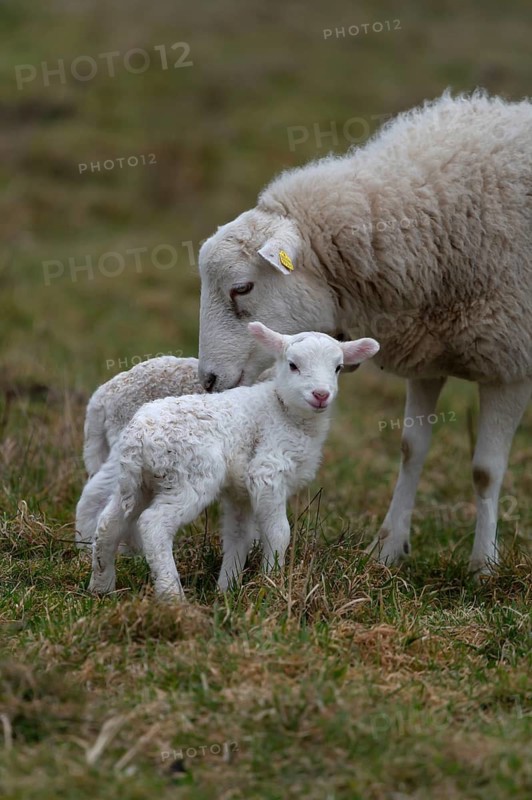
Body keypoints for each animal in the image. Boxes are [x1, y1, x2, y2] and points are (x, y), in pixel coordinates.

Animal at [87, 323, 379, 599]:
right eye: (293, 365)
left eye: (337, 368)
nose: (320, 395)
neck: (283, 409)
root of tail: (138, 439)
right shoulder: (267, 472)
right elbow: (278, 532)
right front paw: (272, 583)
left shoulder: (240, 492)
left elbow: (239, 537)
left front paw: (227, 590)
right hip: (190, 476)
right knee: (153, 524)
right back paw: (172, 595)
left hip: (139, 482)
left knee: (108, 522)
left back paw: (101, 587)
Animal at [196, 91, 532, 574]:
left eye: (242, 288)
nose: (207, 380)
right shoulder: (430, 354)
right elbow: (411, 448)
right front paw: (387, 549)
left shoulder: (511, 364)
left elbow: (486, 470)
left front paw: (484, 565)